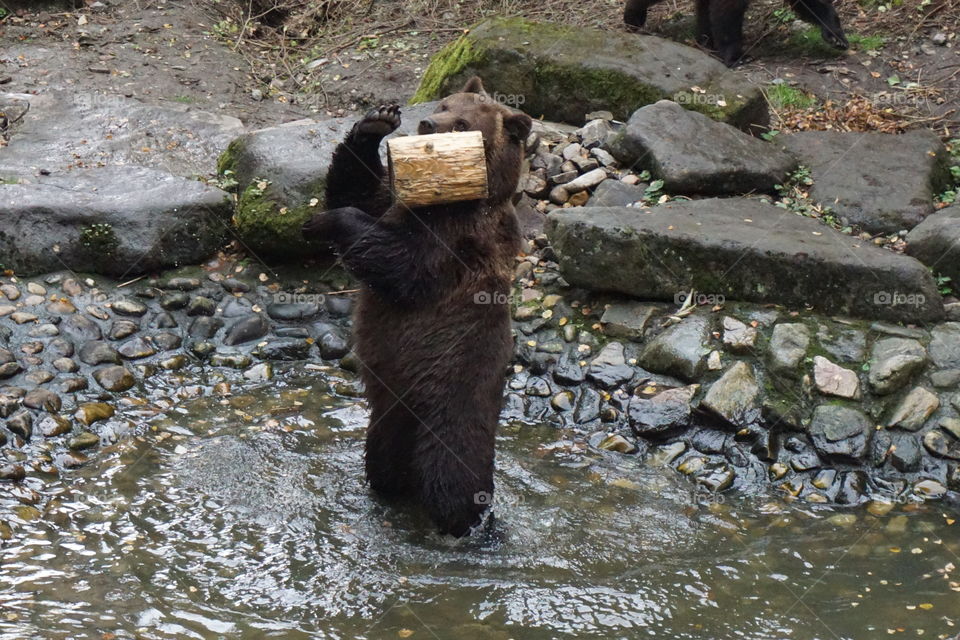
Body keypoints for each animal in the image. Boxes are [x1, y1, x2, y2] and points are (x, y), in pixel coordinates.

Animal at [304, 76, 532, 536]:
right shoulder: (396, 198)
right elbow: (357, 189)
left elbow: (404, 265)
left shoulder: (461, 242)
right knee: (384, 461)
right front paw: (376, 121)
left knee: (452, 476)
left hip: (450, 405)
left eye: (462, 122)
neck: (450, 196)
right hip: (390, 418)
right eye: (444, 104)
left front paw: (328, 221)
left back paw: (468, 523)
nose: (427, 122)